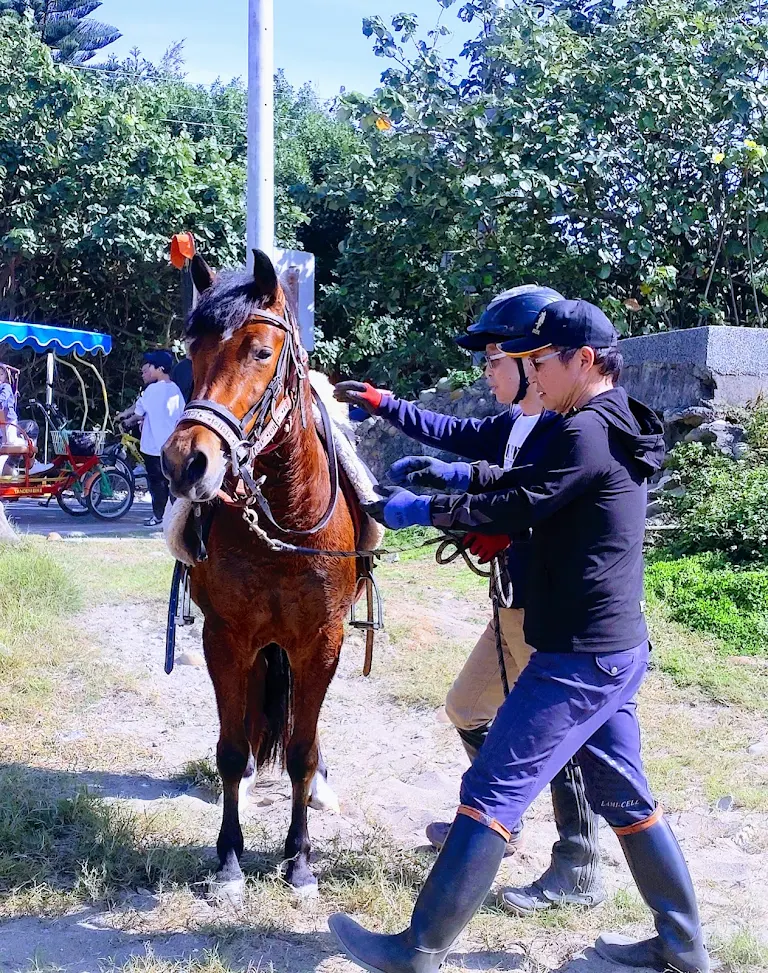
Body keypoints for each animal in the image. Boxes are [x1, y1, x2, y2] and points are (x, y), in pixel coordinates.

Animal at [161, 250, 361, 898]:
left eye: (260, 351)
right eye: (192, 352)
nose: (185, 462)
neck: (285, 525)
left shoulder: (321, 642)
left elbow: (300, 752)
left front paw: (299, 858)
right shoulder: (226, 637)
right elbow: (228, 749)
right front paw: (228, 857)